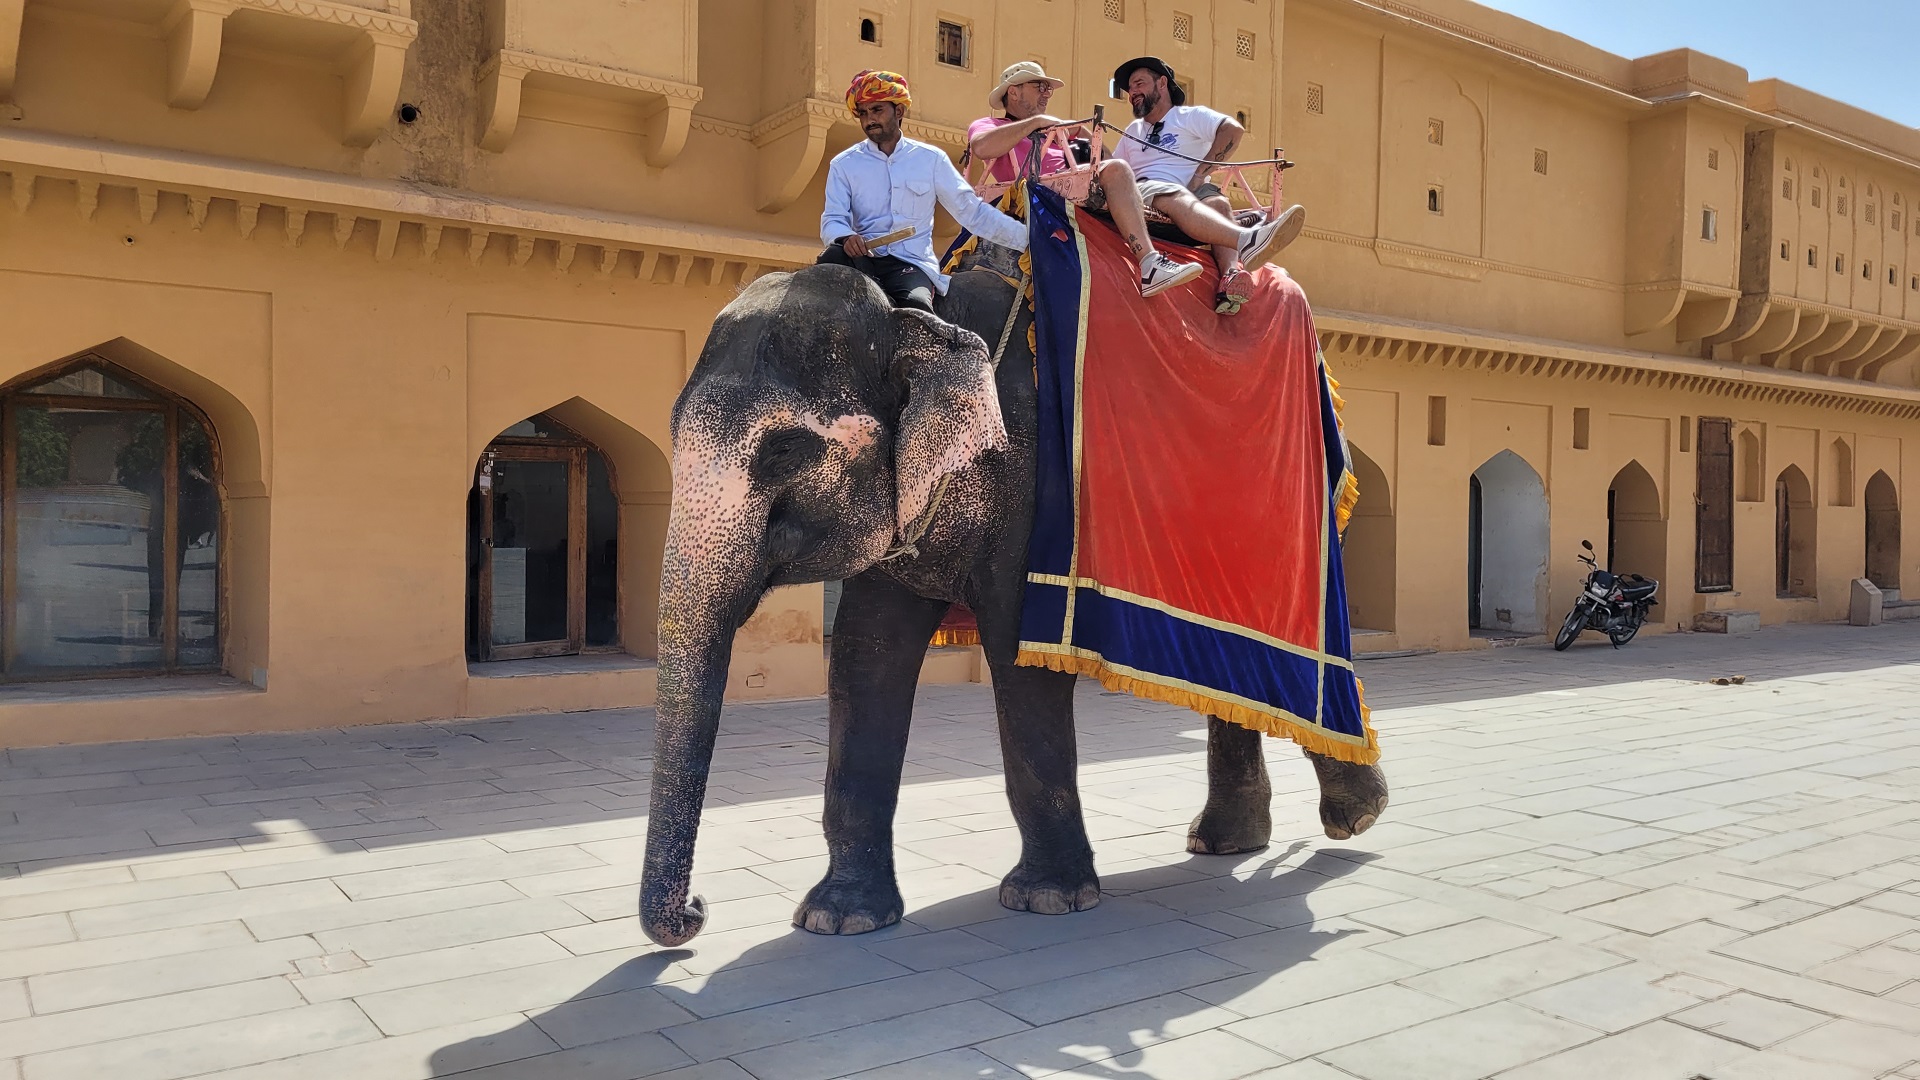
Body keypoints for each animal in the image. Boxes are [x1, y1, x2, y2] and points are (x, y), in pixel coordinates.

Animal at [637, 259, 1390, 941]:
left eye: (785, 450)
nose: (697, 912)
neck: (917, 317)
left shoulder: (1033, 494)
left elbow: (1018, 660)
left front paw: (1048, 901)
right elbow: (862, 656)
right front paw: (839, 918)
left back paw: (1353, 817)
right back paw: (1232, 842)